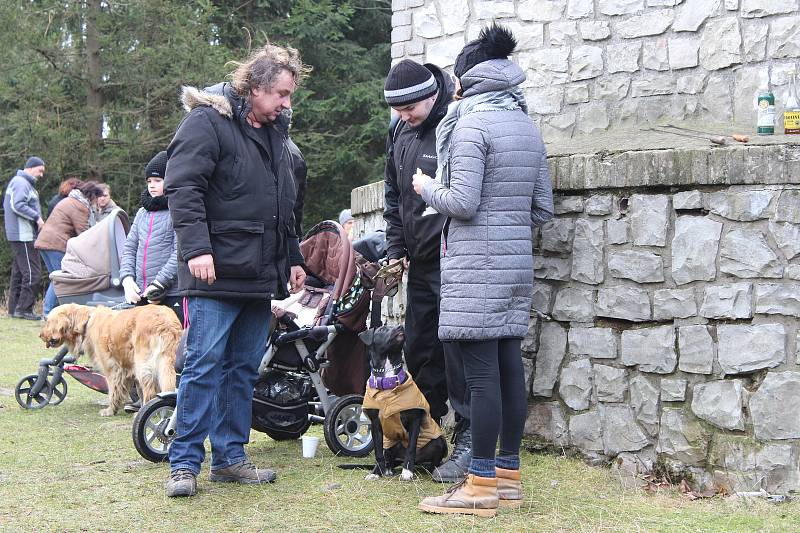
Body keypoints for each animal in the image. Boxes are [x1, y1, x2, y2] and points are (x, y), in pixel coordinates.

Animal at [39, 304, 180, 416]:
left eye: (47, 321)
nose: (40, 335)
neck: (86, 322)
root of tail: (166, 322)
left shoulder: (113, 369)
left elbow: (113, 391)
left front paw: (110, 410)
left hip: (144, 365)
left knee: (149, 389)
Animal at [360, 322, 446, 480]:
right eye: (382, 329)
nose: (400, 326)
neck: (388, 380)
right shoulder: (375, 424)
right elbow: (378, 452)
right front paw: (376, 472)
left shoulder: (415, 420)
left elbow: (411, 448)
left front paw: (407, 472)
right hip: (391, 443)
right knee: (388, 457)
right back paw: (387, 469)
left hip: (439, 442)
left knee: (432, 459)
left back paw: (432, 469)